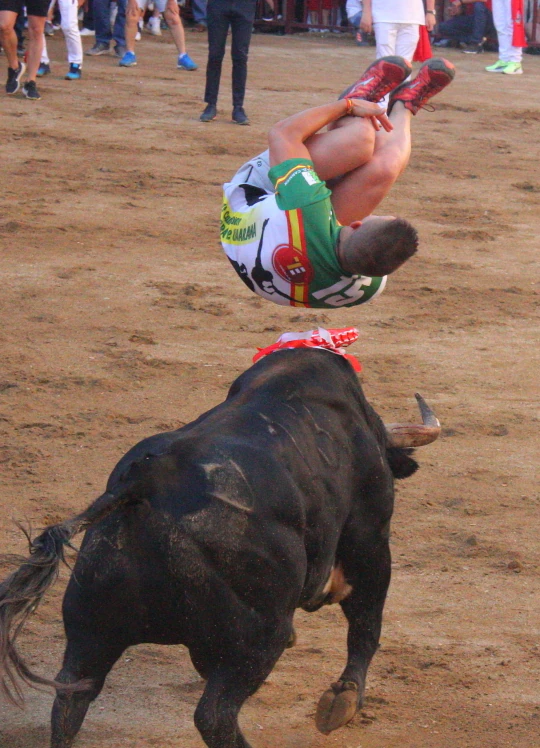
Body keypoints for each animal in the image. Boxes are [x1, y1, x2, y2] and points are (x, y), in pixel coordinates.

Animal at [0, 350, 438, 748]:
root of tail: (144, 482)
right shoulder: (370, 539)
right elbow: (366, 624)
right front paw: (342, 701)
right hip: (256, 638)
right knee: (214, 716)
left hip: (90, 628)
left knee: (70, 700)